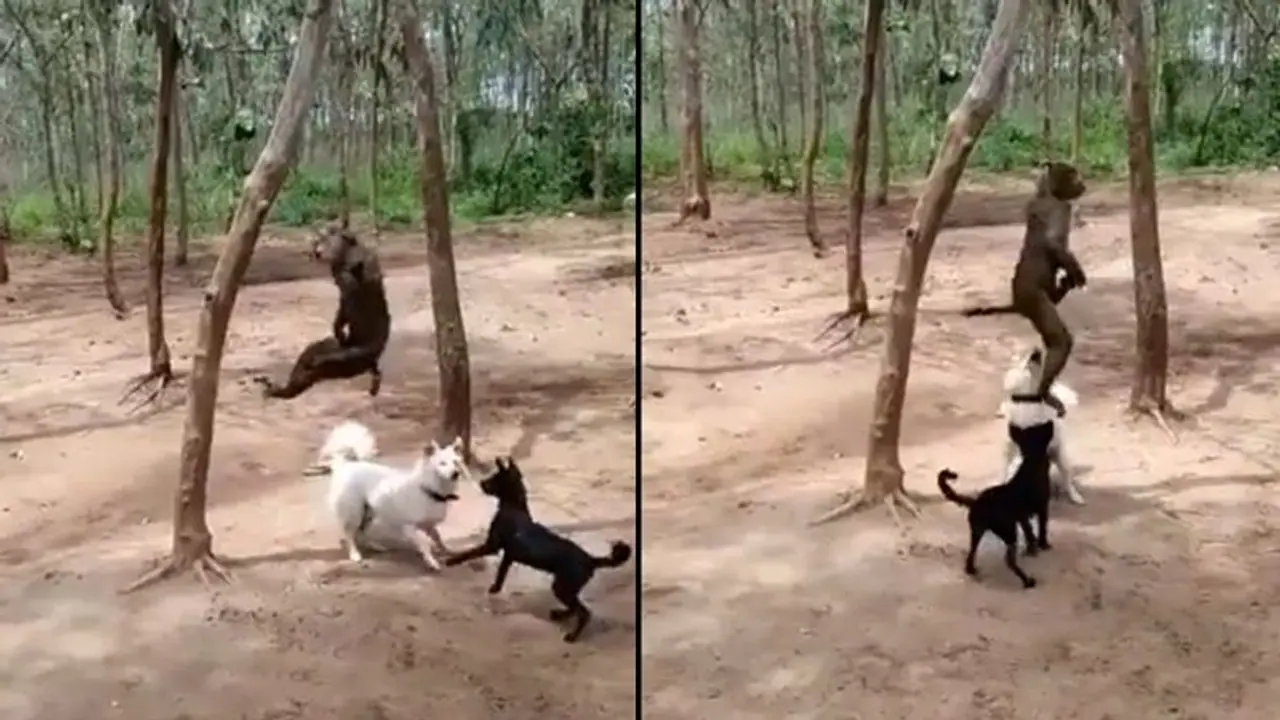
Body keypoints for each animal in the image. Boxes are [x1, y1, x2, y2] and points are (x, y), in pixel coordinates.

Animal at [253, 226, 392, 400]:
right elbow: (343, 305)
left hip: (360, 351)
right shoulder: (342, 285)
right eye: (319, 239)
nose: (315, 250)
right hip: (334, 350)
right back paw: (277, 389)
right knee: (311, 356)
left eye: (324, 239)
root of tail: (371, 361)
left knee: (336, 358)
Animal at [961, 161, 1089, 417]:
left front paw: (1072, 277)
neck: (1046, 192)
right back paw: (1044, 393)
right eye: (1074, 176)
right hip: (1034, 299)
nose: (1083, 184)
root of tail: (1016, 302)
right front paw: (1079, 276)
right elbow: (1054, 242)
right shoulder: (1061, 208)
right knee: (1059, 340)